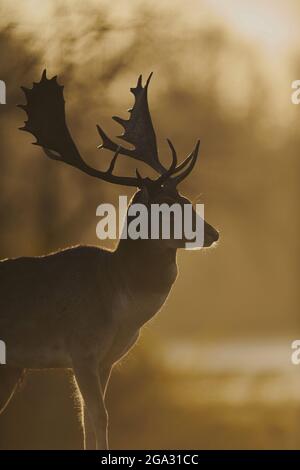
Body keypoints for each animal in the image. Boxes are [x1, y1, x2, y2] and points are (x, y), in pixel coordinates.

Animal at [0, 70, 218, 452]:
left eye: (187, 200)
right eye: (167, 207)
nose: (213, 233)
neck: (119, 304)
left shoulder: (106, 360)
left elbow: (90, 421)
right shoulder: (81, 349)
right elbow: (98, 417)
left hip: (9, 369)